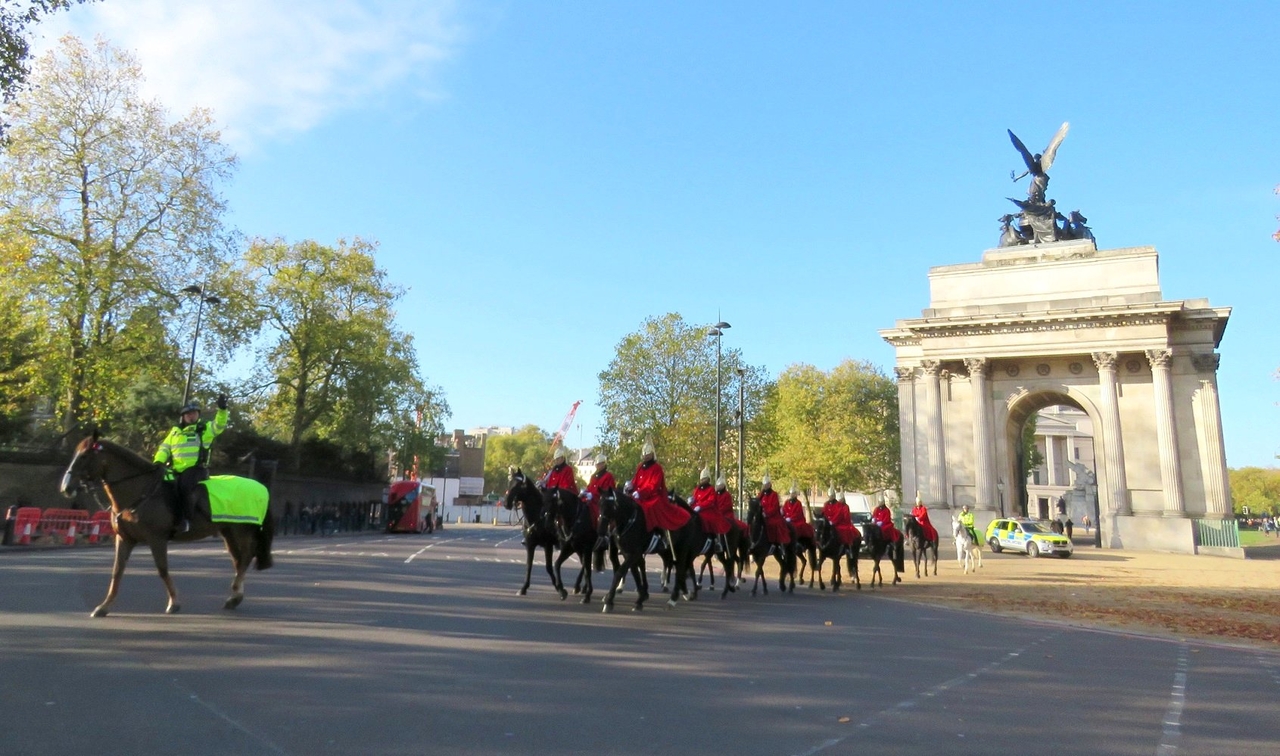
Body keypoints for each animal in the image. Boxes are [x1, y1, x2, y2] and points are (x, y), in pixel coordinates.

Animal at [59, 434, 275, 619]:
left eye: (84, 456)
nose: (66, 488)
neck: (141, 491)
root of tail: (261, 487)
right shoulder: (125, 539)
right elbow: (117, 571)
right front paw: (103, 606)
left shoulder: (157, 539)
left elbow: (162, 569)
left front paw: (174, 603)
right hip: (228, 532)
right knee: (239, 561)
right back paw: (235, 597)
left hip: (241, 531)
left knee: (246, 558)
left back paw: (234, 595)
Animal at [499, 468, 565, 598]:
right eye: (510, 483)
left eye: (518, 486)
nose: (506, 504)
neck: (538, 516)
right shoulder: (530, 545)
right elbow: (528, 566)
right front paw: (523, 588)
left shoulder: (548, 545)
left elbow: (549, 567)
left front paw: (559, 588)